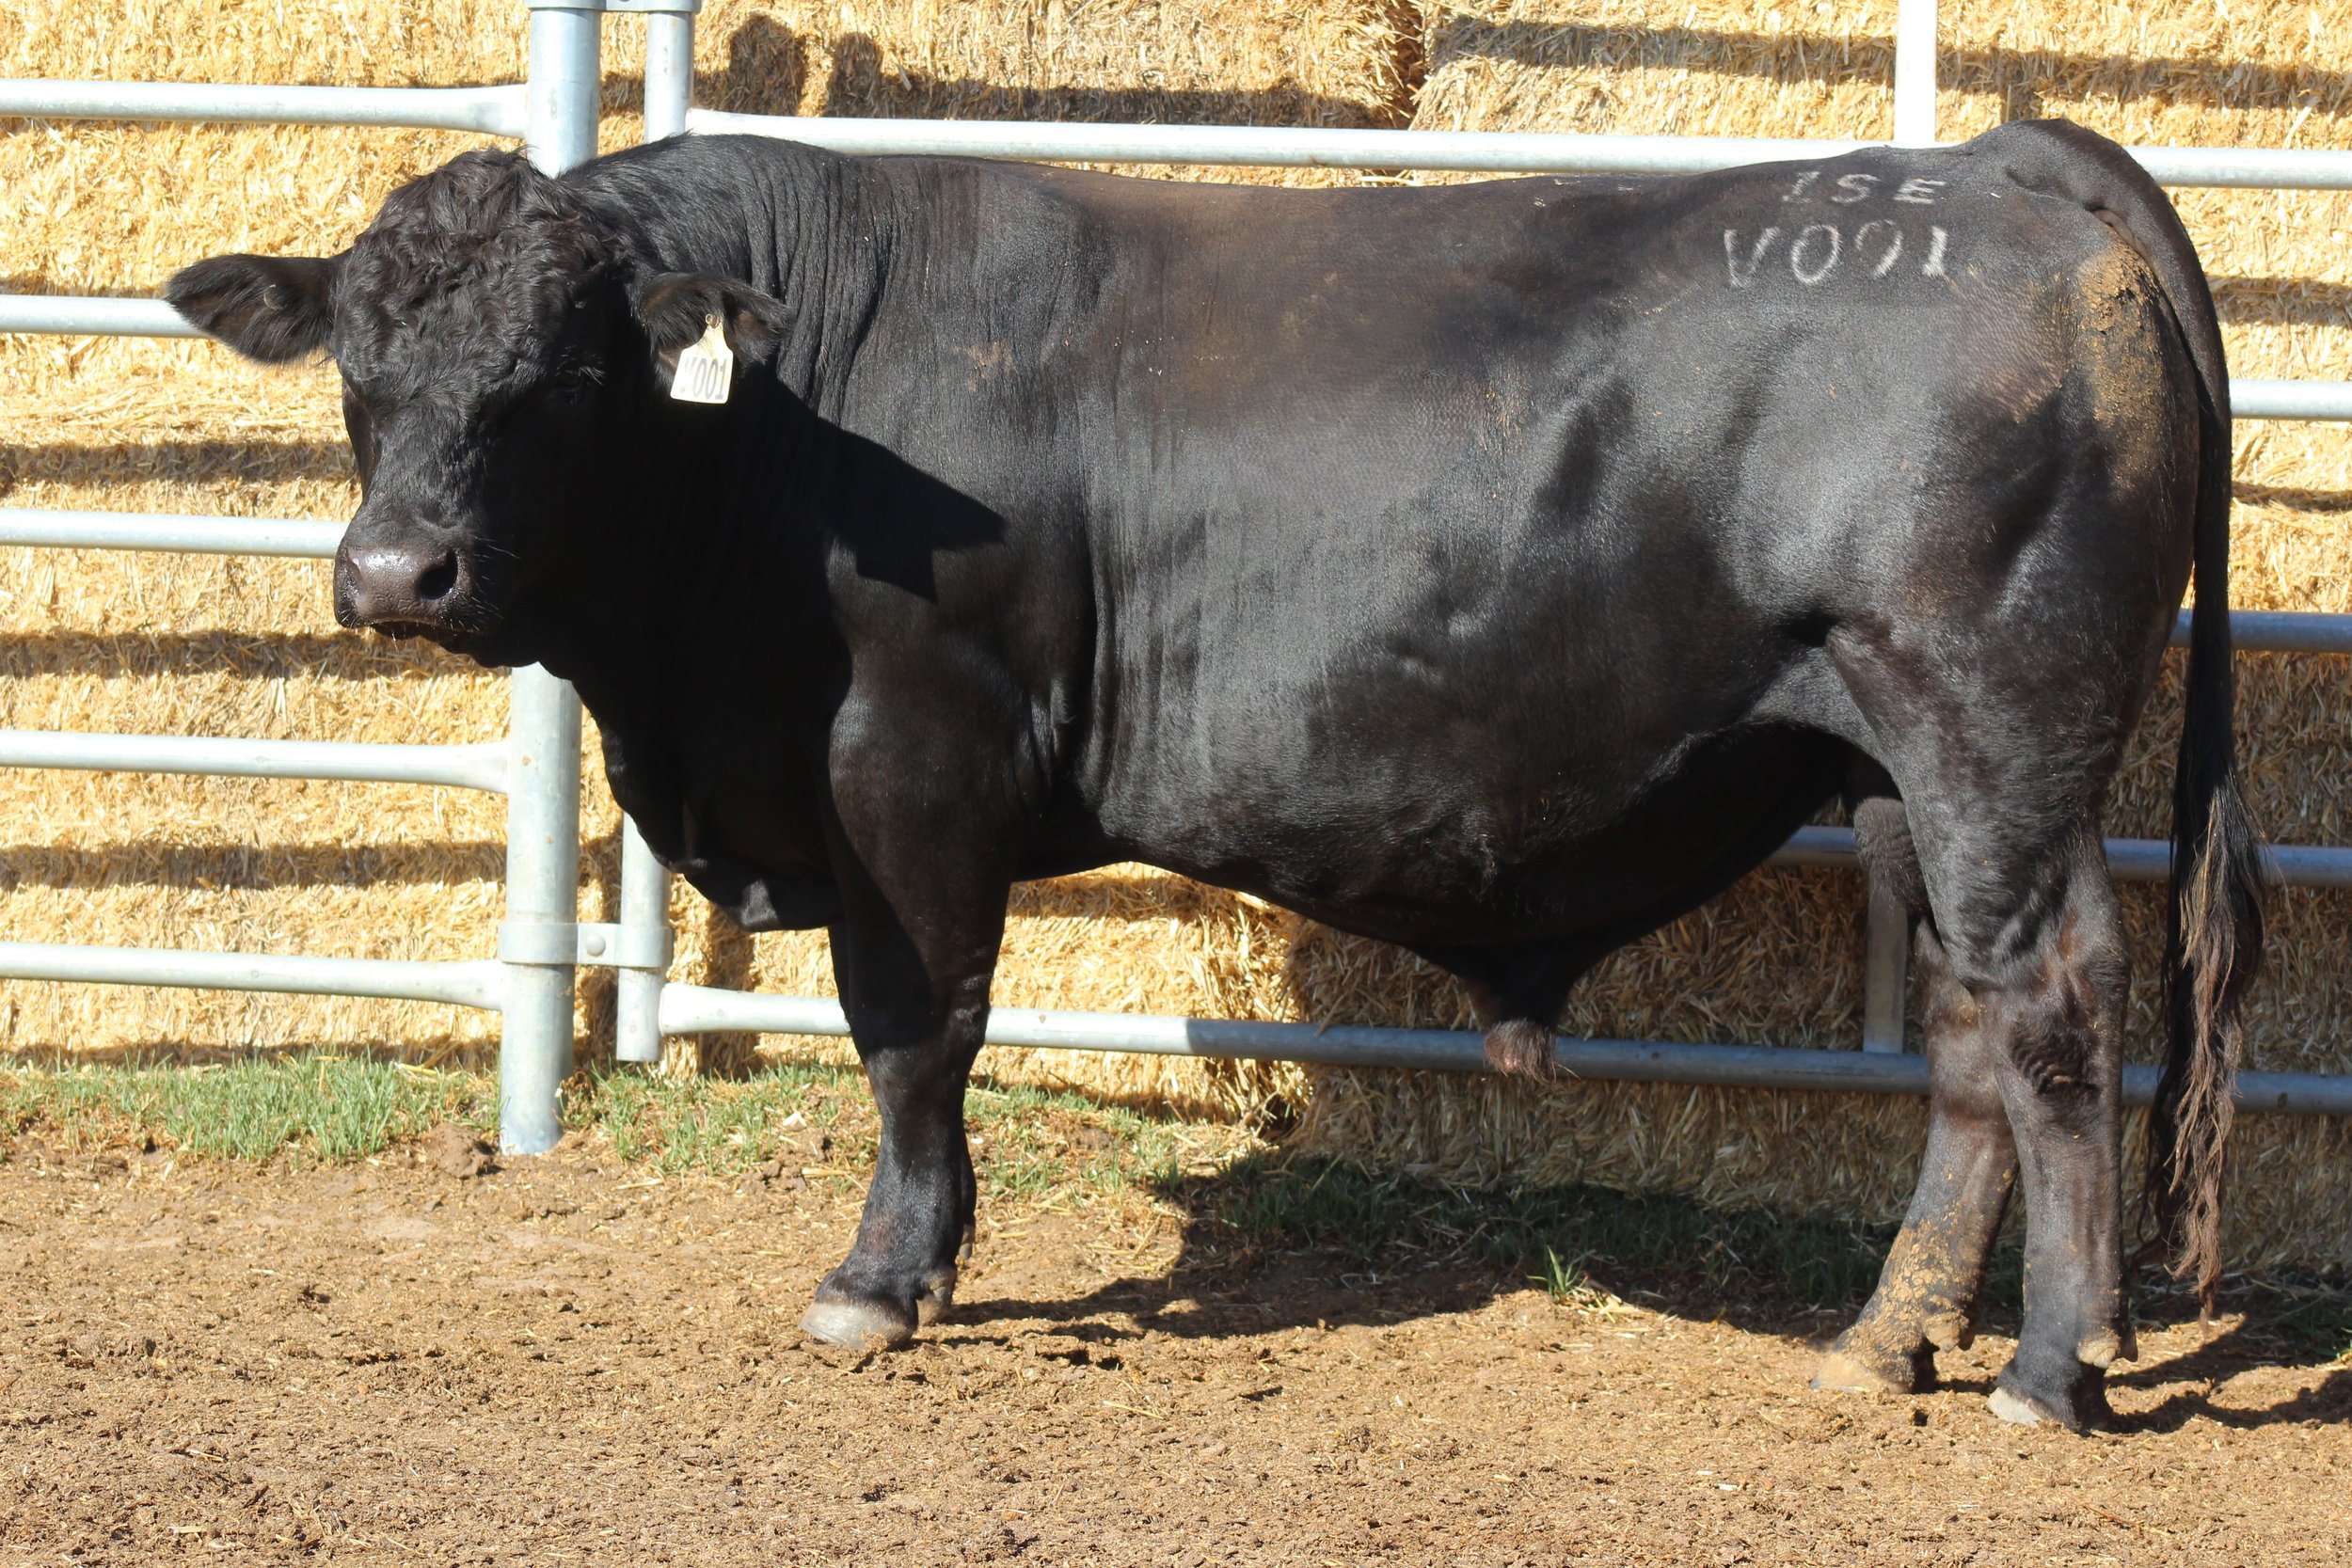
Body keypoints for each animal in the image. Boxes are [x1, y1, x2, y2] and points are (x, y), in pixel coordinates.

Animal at [167, 117, 2262, 1431]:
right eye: (358, 365)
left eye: (559, 370)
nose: (395, 574)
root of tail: (1995, 164)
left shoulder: (909, 765)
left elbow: (914, 1033)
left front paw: (884, 1277)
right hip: (1897, 762)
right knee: (1972, 1038)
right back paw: (1886, 1339)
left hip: (1988, 727)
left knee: (2057, 1009)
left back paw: (2047, 1371)